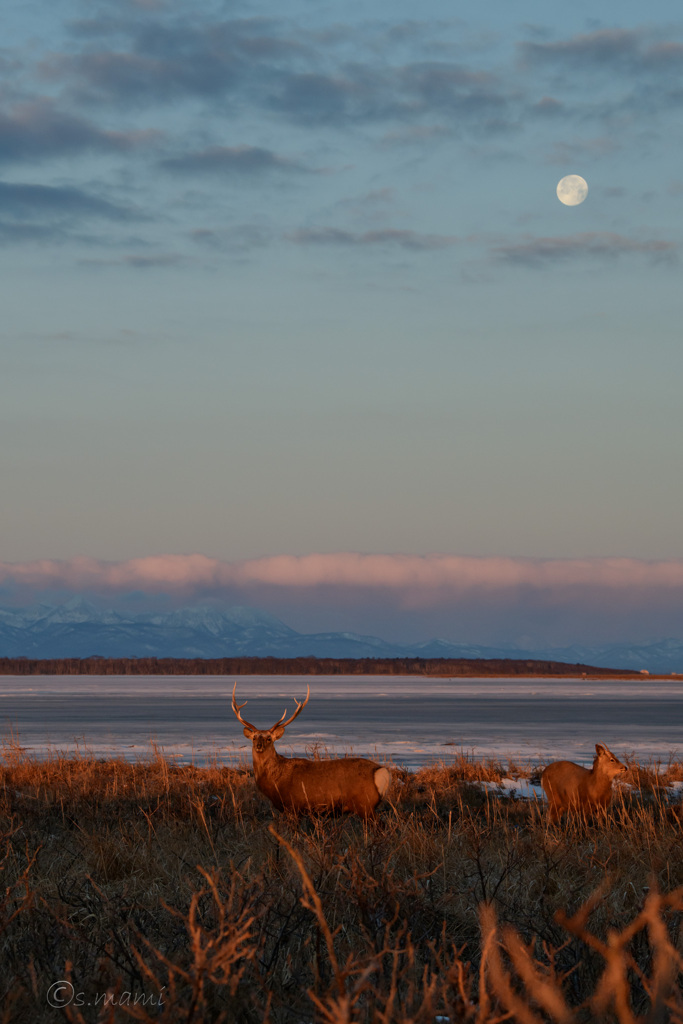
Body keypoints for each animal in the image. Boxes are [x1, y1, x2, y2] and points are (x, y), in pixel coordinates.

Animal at [231, 684, 389, 819]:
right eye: (254, 737)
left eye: (269, 738)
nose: (259, 745)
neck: (274, 783)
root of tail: (382, 771)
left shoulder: (293, 806)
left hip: (365, 804)